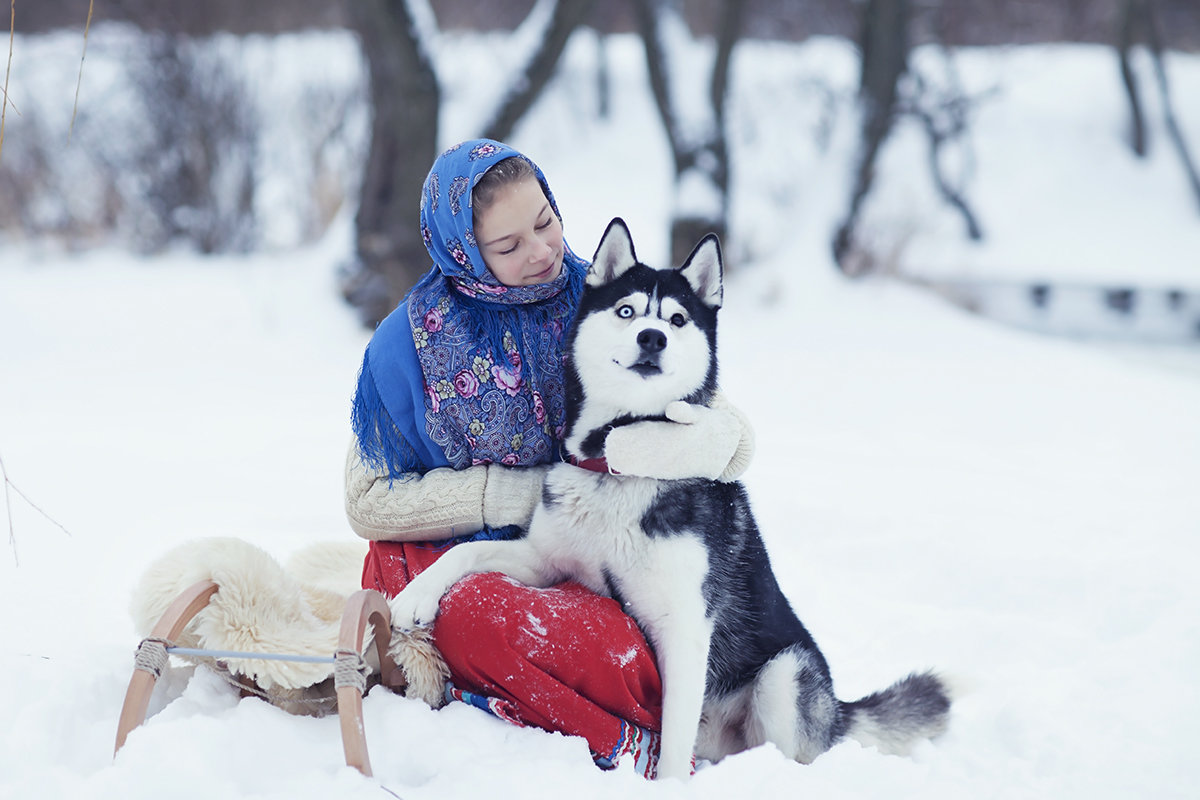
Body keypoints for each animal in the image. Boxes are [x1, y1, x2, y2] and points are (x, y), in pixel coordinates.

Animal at [393, 219, 955, 782]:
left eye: (678, 319)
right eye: (627, 311)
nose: (653, 337)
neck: (616, 467)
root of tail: (839, 709)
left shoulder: (684, 624)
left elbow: (674, 740)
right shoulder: (544, 562)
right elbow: (465, 552)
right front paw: (413, 597)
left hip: (785, 673)